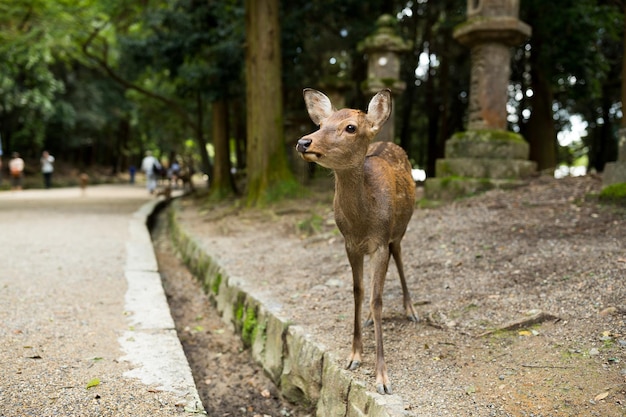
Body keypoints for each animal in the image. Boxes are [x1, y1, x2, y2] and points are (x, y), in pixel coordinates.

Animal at [294, 88, 416, 394]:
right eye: (321, 123)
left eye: (350, 127)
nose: (303, 141)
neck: (363, 223)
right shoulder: (350, 244)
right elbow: (358, 292)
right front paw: (354, 356)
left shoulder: (380, 241)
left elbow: (378, 298)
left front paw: (382, 377)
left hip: (400, 228)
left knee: (399, 255)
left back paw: (411, 309)